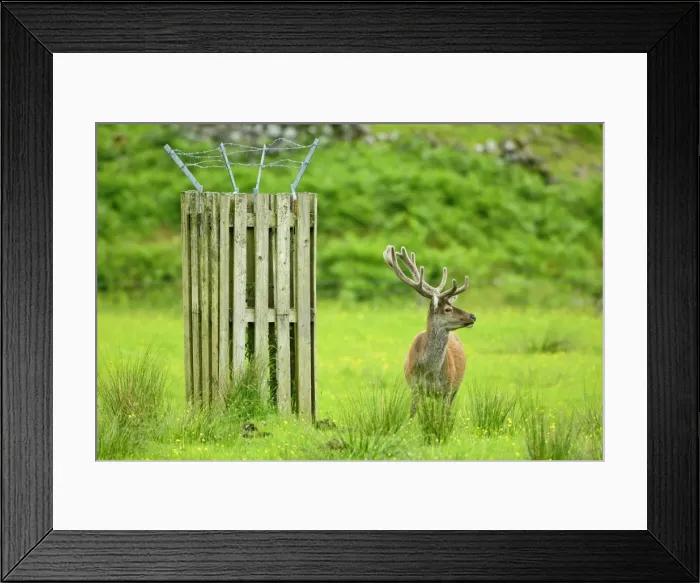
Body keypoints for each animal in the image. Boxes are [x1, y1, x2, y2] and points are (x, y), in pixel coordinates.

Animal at [383, 245, 476, 415]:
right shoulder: (415, 387)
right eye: (447, 309)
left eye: (451, 305)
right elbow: (412, 414)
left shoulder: (446, 389)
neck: (430, 373)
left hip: (454, 388)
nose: (472, 316)